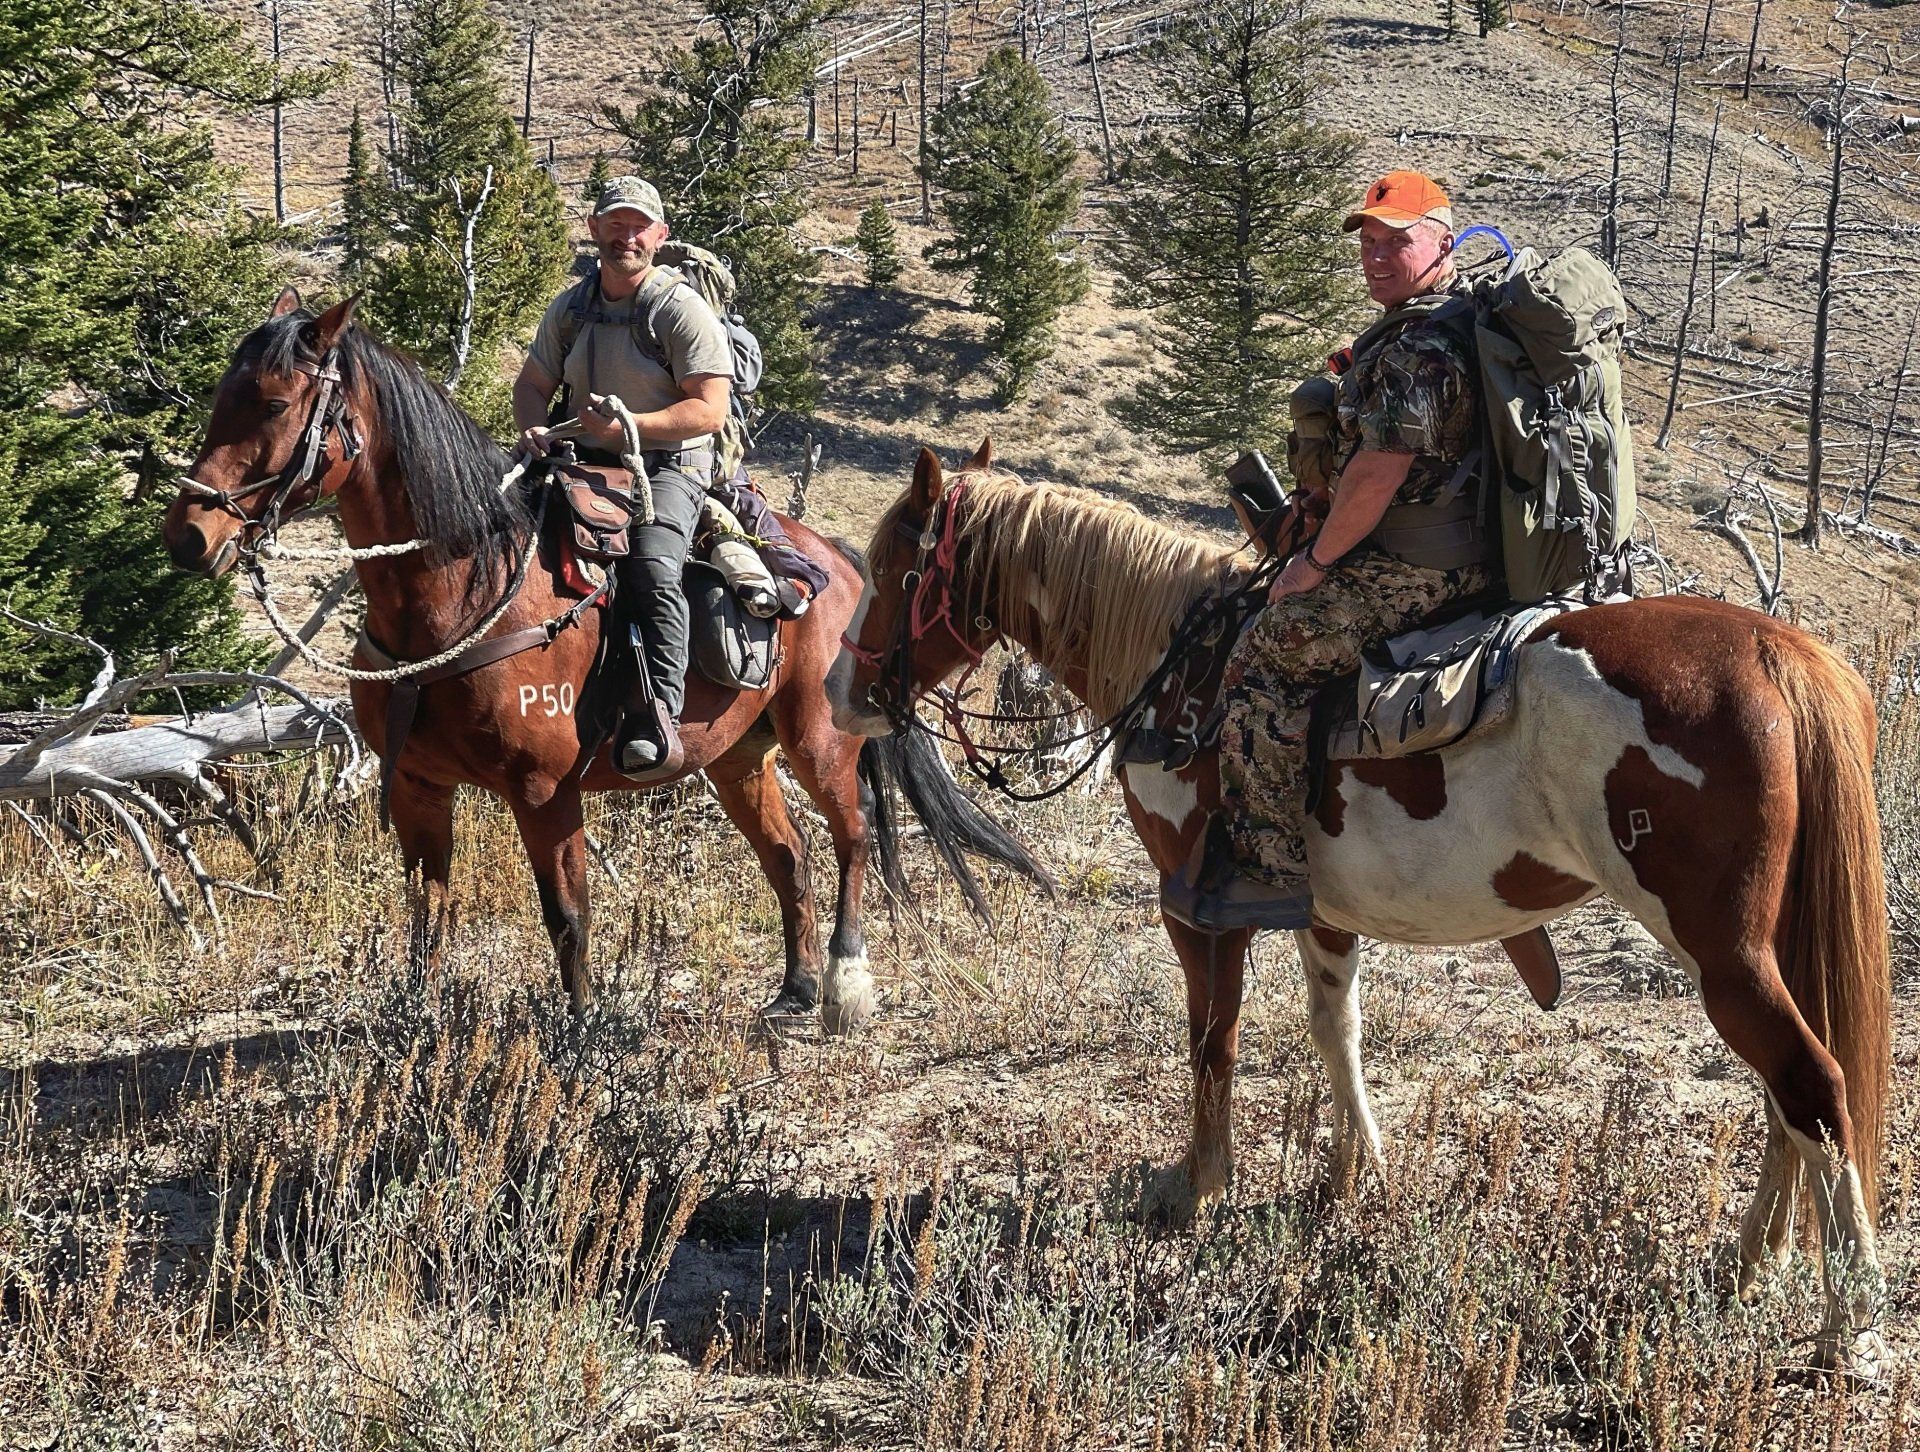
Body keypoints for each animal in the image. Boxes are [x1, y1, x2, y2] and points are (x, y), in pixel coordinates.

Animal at [161, 292, 1042, 1028]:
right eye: (220, 397)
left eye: (275, 403)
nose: (189, 536)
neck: (462, 591)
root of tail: (846, 561)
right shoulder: (417, 787)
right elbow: (428, 913)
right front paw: (416, 1030)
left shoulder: (543, 792)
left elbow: (568, 918)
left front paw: (580, 1039)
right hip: (737, 758)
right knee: (788, 858)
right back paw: (792, 990)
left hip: (820, 744)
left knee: (853, 840)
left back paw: (843, 985)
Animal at [830, 441, 1894, 1370]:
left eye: (891, 565)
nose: (843, 689)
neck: (1185, 672)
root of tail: (1775, 650)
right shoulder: (1319, 914)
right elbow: (1334, 1029)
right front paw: (1353, 1175)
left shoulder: (1197, 906)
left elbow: (1211, 1042)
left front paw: (1200, 1187)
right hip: (1762, 948)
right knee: (1786, 1100)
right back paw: (1751, 1264)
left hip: (1720, 950)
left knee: (1811, 1084)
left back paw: (1846, 1320)